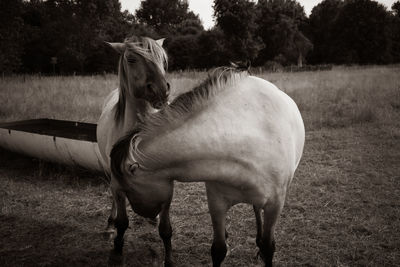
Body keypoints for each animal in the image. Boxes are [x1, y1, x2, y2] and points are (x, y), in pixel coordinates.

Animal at [109, 68, 304, 266]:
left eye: (127, 188)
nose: (145, 214)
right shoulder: (217, 203)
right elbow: (218, 249)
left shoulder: (275, 205)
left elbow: (268, 247)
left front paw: (263, 249)